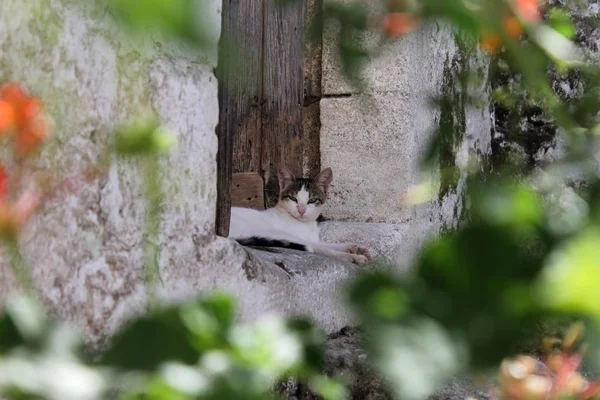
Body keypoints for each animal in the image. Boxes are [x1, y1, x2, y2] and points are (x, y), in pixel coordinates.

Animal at [229, 166, 370, 266]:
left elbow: (328, 244)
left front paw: (356, 248)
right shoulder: (305, 240)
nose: (301, 210)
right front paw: (353, 257)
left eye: (312, 200)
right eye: (293, 198)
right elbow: (325, 249)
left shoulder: (313, 239)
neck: (305, 224)